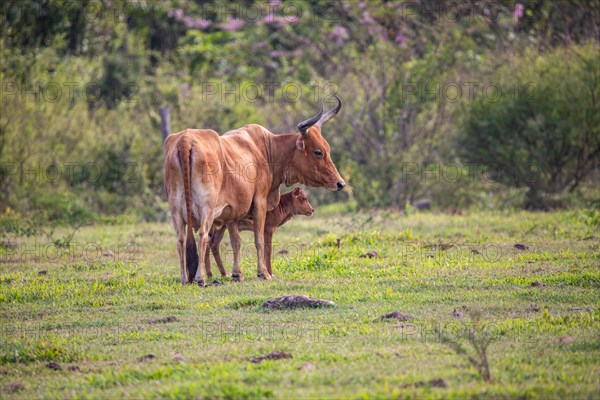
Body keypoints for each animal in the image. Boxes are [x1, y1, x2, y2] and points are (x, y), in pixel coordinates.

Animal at [164, 96, 344, 284]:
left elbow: (236, 241)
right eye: (318, 152)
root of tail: (186, 139)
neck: (266, 149)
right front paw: (263, 272)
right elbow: (259, 240)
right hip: (207, 208)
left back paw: (185, 277)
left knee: (181, 239)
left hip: (176, 209)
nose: (340, 183)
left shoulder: (232, 211)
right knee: (203, 235)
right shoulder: (260, 203)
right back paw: (200, 277)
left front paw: (237, 274)